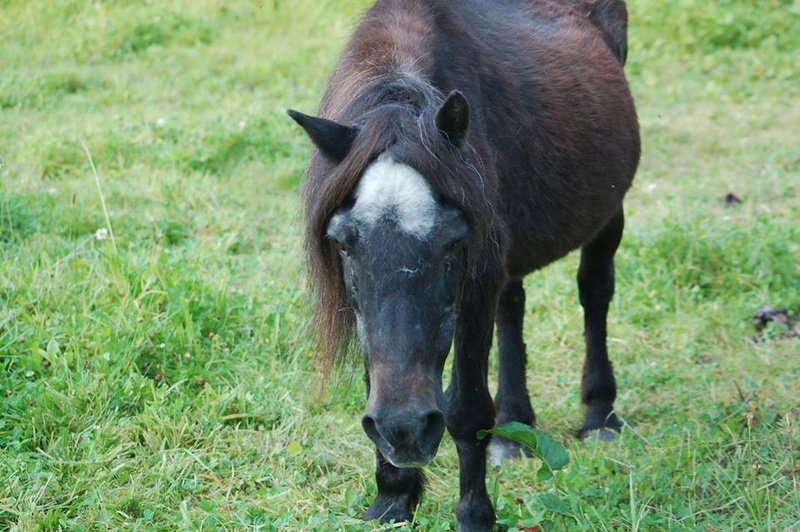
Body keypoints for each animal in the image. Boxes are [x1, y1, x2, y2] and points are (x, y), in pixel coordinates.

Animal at [288, 0, 636, 528]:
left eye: (451, 241)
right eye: (342, 243)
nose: (406, 430)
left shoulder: (475, 289)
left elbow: (467, 409)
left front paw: (474, 514)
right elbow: (378, 375)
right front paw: (392, 497)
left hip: (607, 214)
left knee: (594, 292)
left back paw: (599, 414)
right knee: (514, 304)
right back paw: (515, 428)